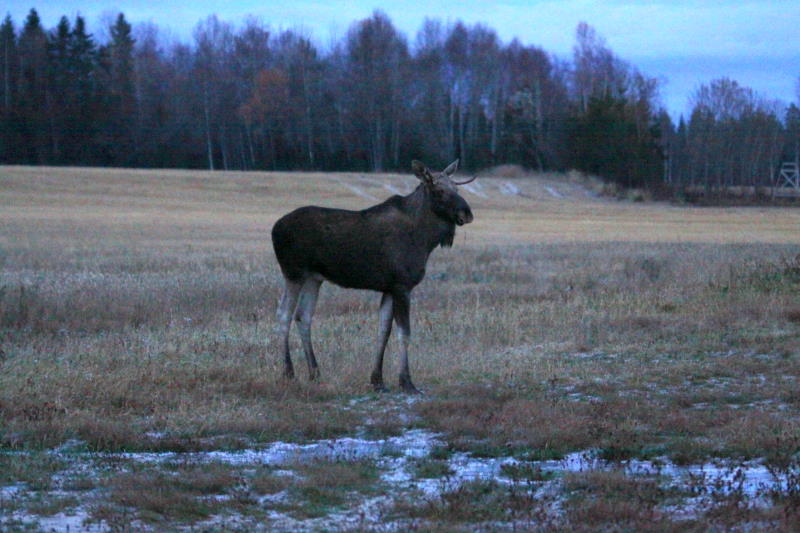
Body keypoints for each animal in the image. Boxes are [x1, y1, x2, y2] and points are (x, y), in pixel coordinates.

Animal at [271, 159, 475, 393]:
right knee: (283, 314)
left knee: (303, 316)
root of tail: (274, 229)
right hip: (293, 273)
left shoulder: (389, 287)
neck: (425, 240)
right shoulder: (402, 285)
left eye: (457, 189)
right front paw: (406, 381)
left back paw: (315, 373)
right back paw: (288, 372)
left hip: (314, 278)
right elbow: (404, 333)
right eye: (439, 190)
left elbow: (383, 330)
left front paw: (377, 379)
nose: (467, 213)